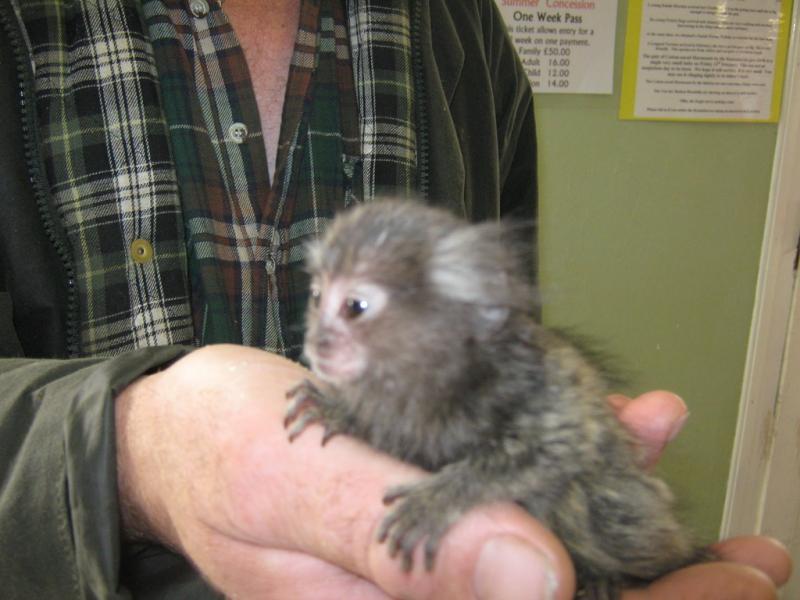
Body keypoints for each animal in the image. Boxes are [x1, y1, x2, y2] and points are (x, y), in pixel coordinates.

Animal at [284, 200, 709, 599]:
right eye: (316, 297)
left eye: (354, 307)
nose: (317, 342)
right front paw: (337, 411)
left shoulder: (536, 388)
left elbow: (558, 446)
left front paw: (441, 497)